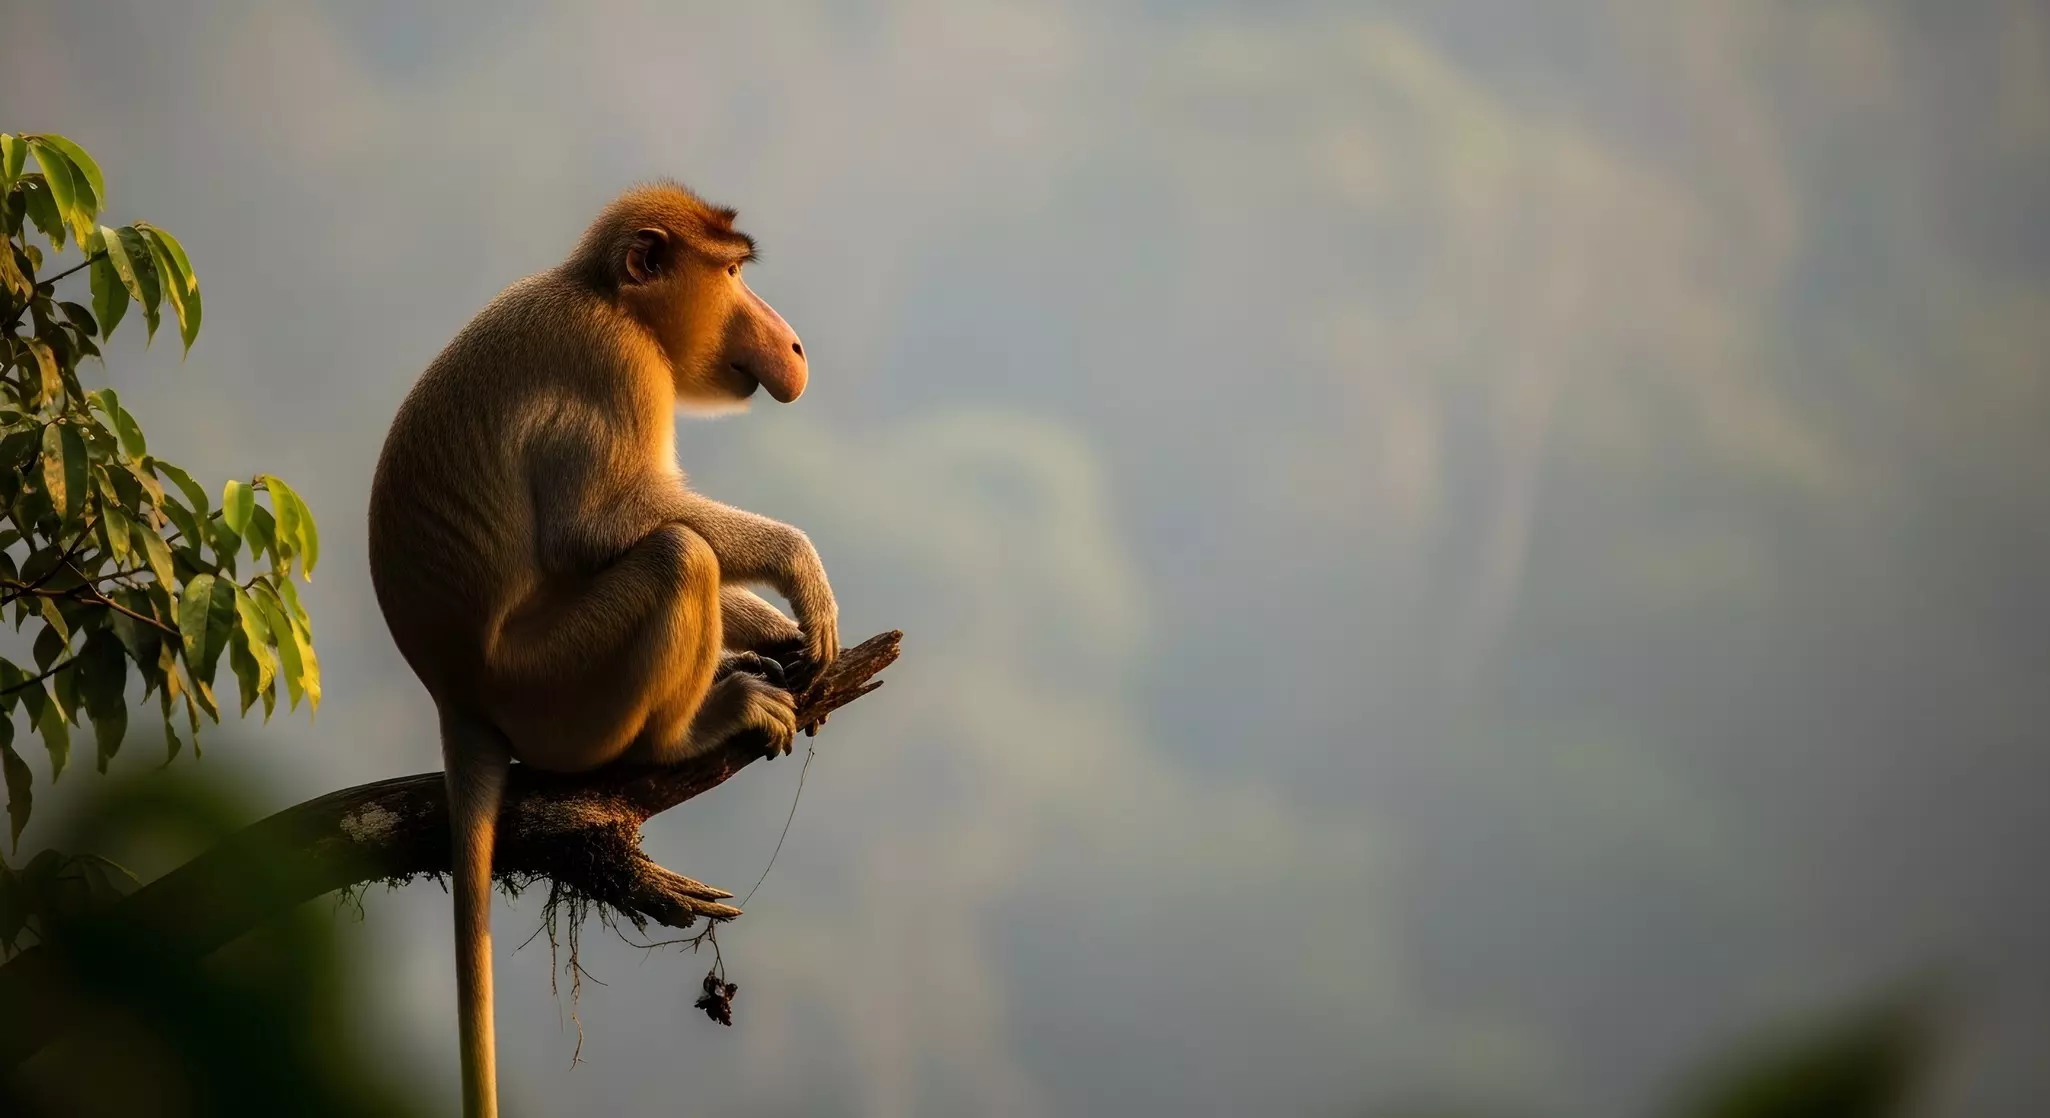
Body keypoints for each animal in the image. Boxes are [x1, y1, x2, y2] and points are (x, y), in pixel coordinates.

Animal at [366, 182, 839, 1118]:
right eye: (732, 274)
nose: (795, 343)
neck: (606, 298)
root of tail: (452, 694)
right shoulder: (618, 366)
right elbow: (598, 527)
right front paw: (799, 567)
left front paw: (775, 628)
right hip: (556, 691)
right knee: (675, 556)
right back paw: (692, 730)